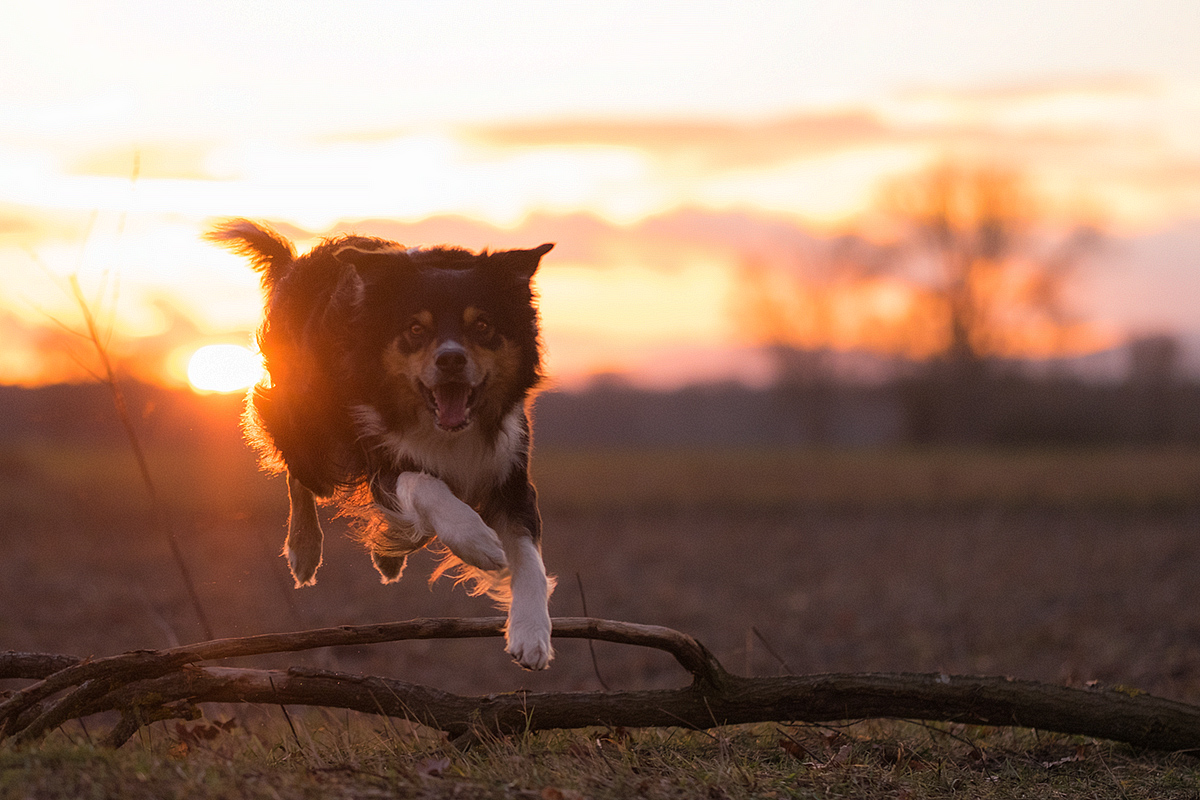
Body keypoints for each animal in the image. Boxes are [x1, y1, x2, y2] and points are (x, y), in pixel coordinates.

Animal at [207, 219, 556, 671]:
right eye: (415, 329)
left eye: (482, 326)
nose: (451, 360)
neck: (444, 428)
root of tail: (294, 263)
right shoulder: (380, 458)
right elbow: (423, 483)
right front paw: (476, 540)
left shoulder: (509, 470)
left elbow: (529, 559)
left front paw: (531, 634)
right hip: (310, 432)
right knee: (299, 476)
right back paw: (303, 549)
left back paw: (387, 557)